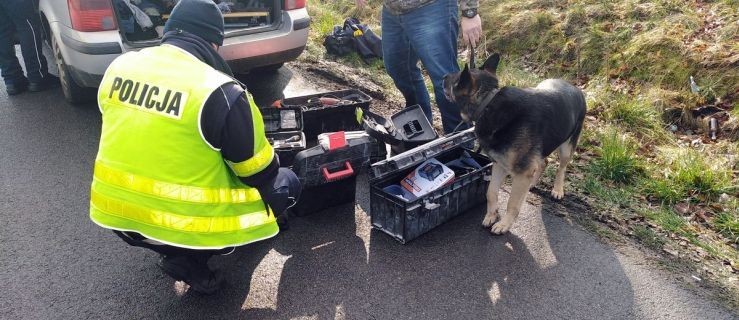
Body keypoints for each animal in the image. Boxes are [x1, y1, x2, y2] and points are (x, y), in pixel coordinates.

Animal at [442, 53, 588, 235]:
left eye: (455, 79)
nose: (443, 77)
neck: (488, 103)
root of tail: (575, 87)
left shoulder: (521, 171)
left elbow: (512, 203)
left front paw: (504, 224)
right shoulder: (500, 165)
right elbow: (491, 192)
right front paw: (492, 215)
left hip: (566, 147)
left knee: (562, 167)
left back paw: (557, 189)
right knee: (544, 162)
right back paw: (533, 183)